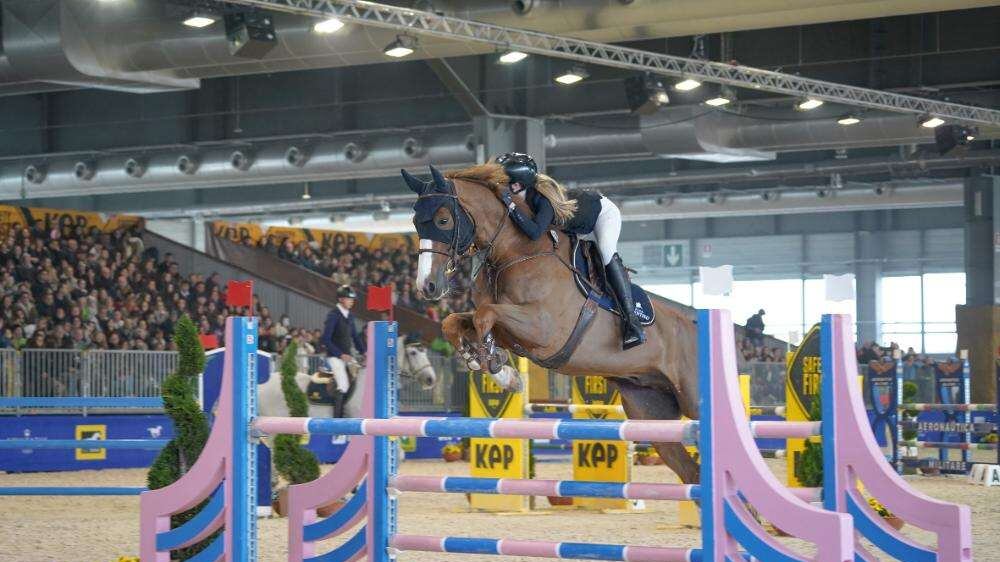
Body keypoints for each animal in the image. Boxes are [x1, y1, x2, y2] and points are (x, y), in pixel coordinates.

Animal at [402, 163, 700, 484]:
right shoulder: (511, 328)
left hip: (692, 400)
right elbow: (456, 322)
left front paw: (493, 363)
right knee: (691, 472)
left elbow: (485, 316)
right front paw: (498, 370)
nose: (427, 286)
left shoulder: (542, 330)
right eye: (415, 222)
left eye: (443, 220)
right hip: (650, 412)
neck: (515, 252)